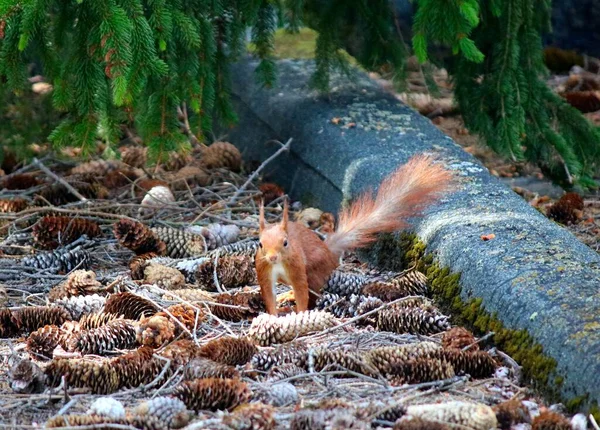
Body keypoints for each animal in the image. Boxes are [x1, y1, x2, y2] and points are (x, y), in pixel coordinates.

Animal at [253, 153, 454, 314]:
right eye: (260, 244)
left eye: (285, 243)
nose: (272, 257)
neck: (278, 264)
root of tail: (328, 251)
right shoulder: (263, 270)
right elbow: (268, 294)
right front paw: (273, 315)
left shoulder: (296, 268)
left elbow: (302, 291)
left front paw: (299, 314)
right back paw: (286, 297)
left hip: (314, 270)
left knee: (312, 291)